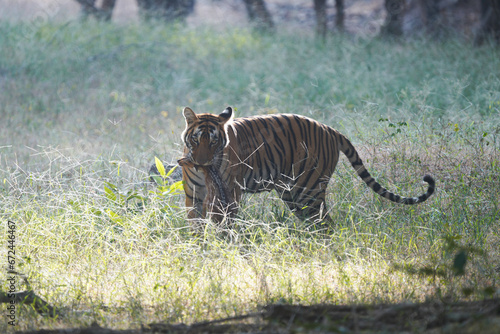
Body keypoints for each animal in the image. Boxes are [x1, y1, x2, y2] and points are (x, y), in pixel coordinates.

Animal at [177, 106, 434, 227]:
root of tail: (330, 129)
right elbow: (195, 223)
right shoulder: (194, 194)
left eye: (214, 141)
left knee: (326, 224)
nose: (201, 163)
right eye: (196, 140)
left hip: (308, 190)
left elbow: (223, 221)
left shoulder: (229, 192)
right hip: (293, 194)